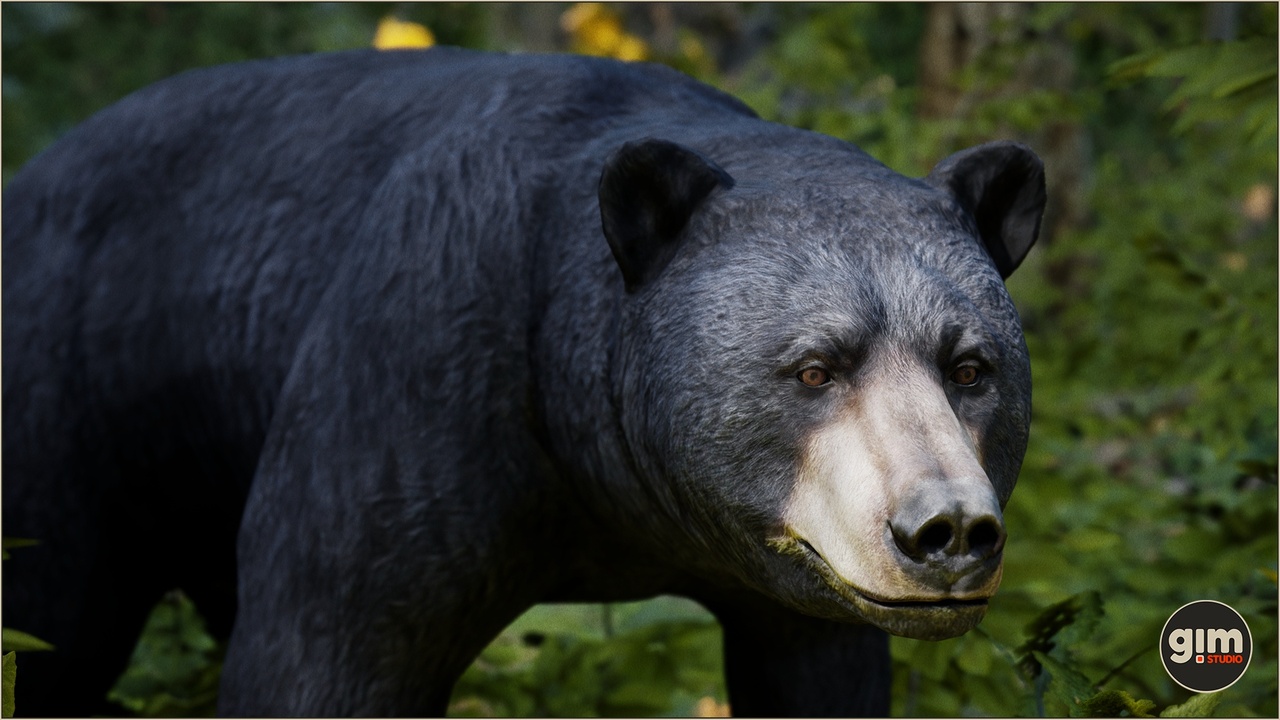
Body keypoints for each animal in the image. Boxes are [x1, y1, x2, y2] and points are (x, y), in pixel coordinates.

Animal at [2, 47, 1045, 716]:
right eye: (814, 367)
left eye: (969, 367)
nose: (946, 530)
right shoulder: (417, 386)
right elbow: (328, 650)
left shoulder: (793, 576)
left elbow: (818, 665)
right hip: (63, 400)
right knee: (52, 620)